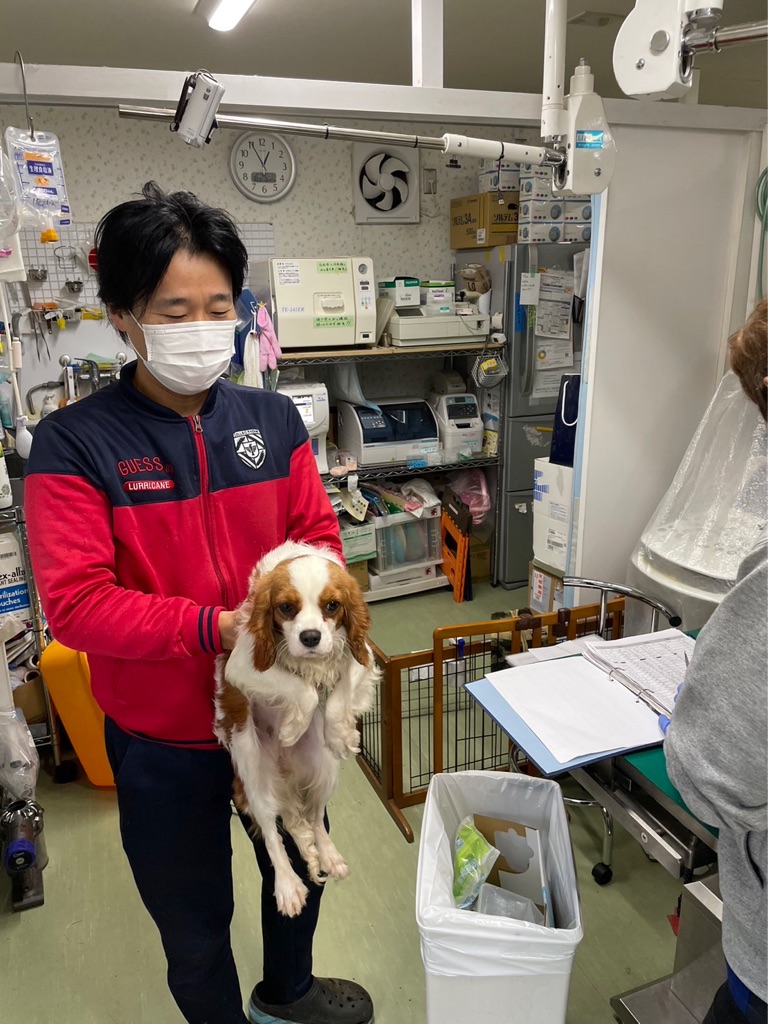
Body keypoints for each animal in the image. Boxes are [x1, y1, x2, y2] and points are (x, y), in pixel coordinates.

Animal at [214, 541, 378, 917]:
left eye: (332, 605)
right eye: (286, 608)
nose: (311, 637)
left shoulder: (360, 653)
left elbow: (339, 691)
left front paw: (340, 734)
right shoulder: (242, 664)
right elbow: (302, 689)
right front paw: (292, 727)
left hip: (325, 771)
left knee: (314, 819)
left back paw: (329, 855)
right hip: (252, 777)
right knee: (273, 835)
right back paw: (288, 886)